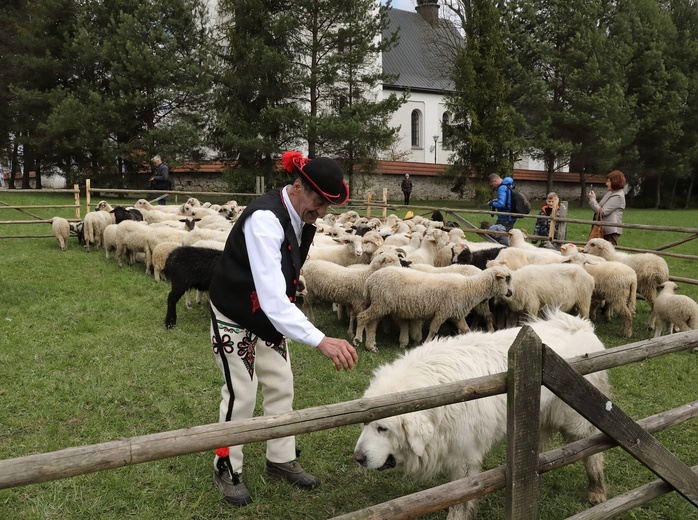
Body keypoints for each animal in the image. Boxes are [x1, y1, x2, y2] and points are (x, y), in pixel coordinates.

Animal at [354, 266, 512, 352]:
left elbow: (466, 330)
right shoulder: (443, 311)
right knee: (362, 317)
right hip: (381, 303)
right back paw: (357, 339)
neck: (469, 287)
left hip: (381, 305)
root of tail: (370, 280)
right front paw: (426, 343)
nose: (510, 293)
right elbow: (433, 329)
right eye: (506, 279)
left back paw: (371, 346)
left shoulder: (456, 314)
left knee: (371, 324)